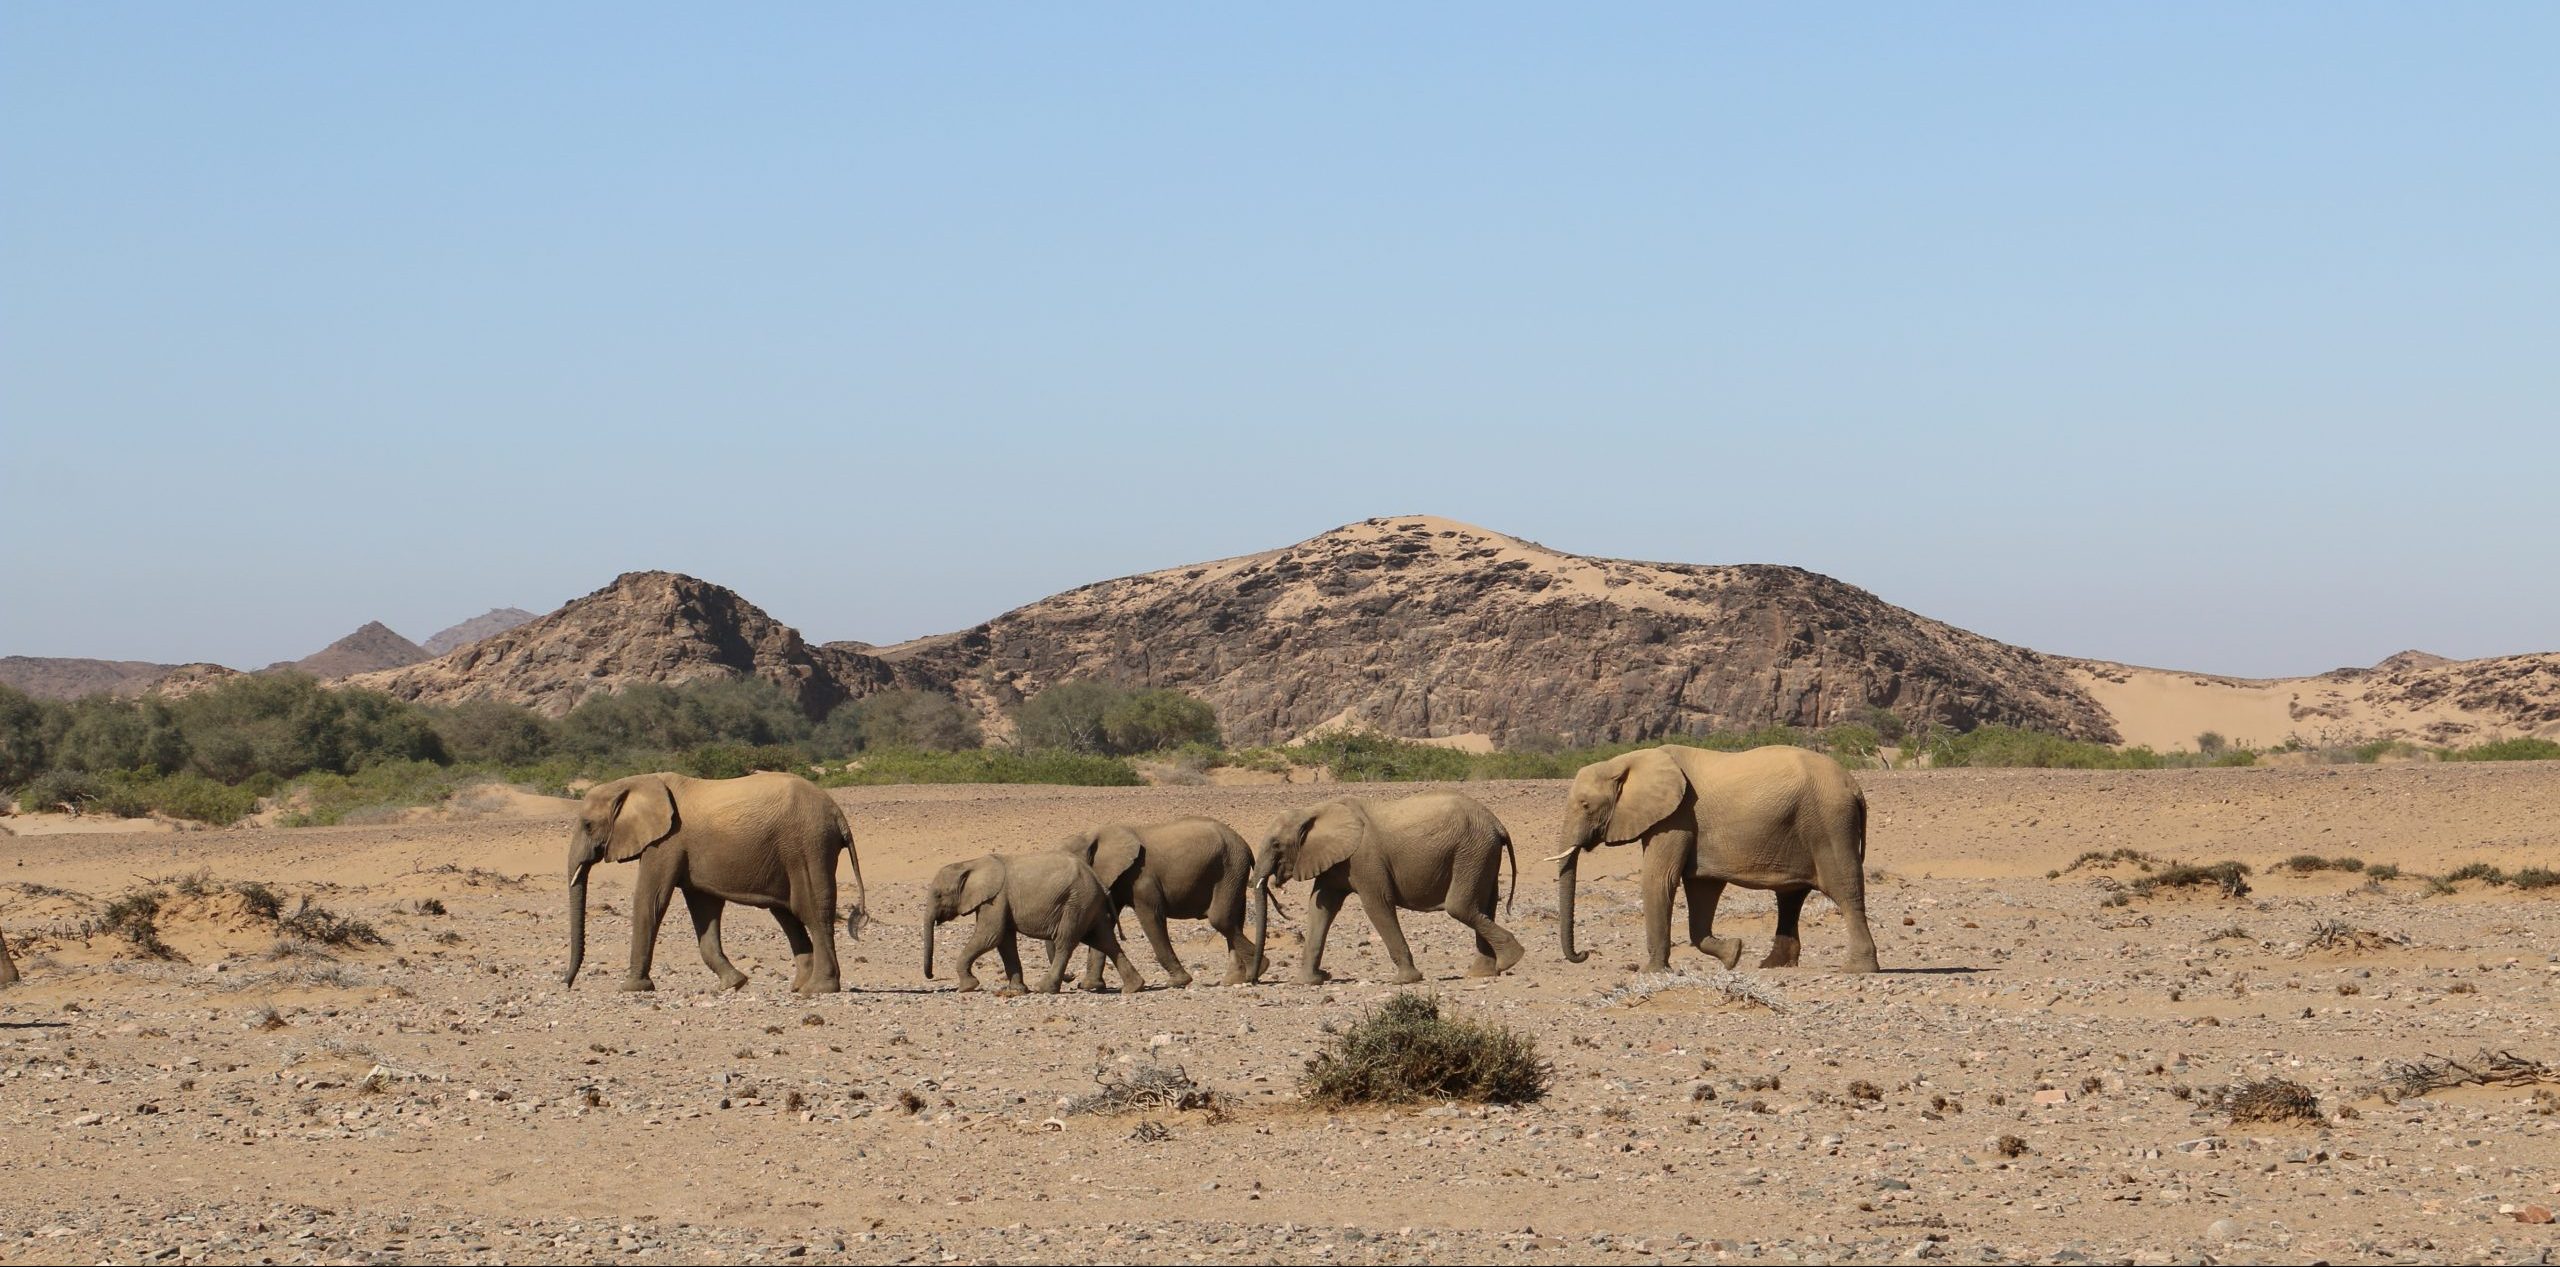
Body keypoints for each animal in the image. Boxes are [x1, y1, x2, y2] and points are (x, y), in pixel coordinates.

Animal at [555, 767, 865, 998]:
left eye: (587, 825)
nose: (566, 984)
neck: (636, 781)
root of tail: (838, 814)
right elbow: (704, 908)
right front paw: (735, 983)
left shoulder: (666, 842)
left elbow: (651, 900)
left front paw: (632, 988)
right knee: (788, 913)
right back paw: (799, 986)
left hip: (808, 846)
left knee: (811, 911)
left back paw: (819, 989)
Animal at [921, 854, 1141, 1003]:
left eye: (939, 895)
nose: (930, 976)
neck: (970, 864)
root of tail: (1098, 880)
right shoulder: (1000, 901)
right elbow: (1004, 942)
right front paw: (1017, 990)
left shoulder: (996, 898)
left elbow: (990, 935)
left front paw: (967, 987)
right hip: (1089, 904)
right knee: (1105, 941)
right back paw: (1134, 987)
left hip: (1076, 903)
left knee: (1065, 943)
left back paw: (1044, 988)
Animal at [1054, 824, 1264, 993]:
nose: (1072, 980)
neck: (1090, 834)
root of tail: (1245, 845)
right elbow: (1105, 927)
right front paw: (1090, 986)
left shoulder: (1141, 877)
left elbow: (1151, 917)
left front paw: (1178, 982)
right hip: (1234, 872)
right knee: (1234, 920)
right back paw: (1236, 979)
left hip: (1229, 868)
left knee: (1221, 919)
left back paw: (1258, 969)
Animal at [1244, 793, 1515, 993]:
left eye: (1276, 845)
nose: (1254, 980)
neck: (1312, 811)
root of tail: (1498, 824)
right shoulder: (1334, 861)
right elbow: (1320, 907)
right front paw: (1307, 982)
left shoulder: (1365, 859)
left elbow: (1377, 905)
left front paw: (1405, 980)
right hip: (1482, 852)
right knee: (1484, 907)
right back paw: (1481, 973)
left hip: (1471, 851)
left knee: (1460, 907)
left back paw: (1512, 958)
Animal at [1536, 747, 1884, 977]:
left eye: (1585, 805)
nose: (1584, 953)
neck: (1627, 761)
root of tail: (1855, 787)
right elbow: (1701, 889)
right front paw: (1733, 954)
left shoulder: (1676, 816)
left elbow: (1659, 880)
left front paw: (1652, 972)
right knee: (1790, 898)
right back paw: (1772, 966)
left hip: (1830, 824)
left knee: (1845, 892)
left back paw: (1857, 969)